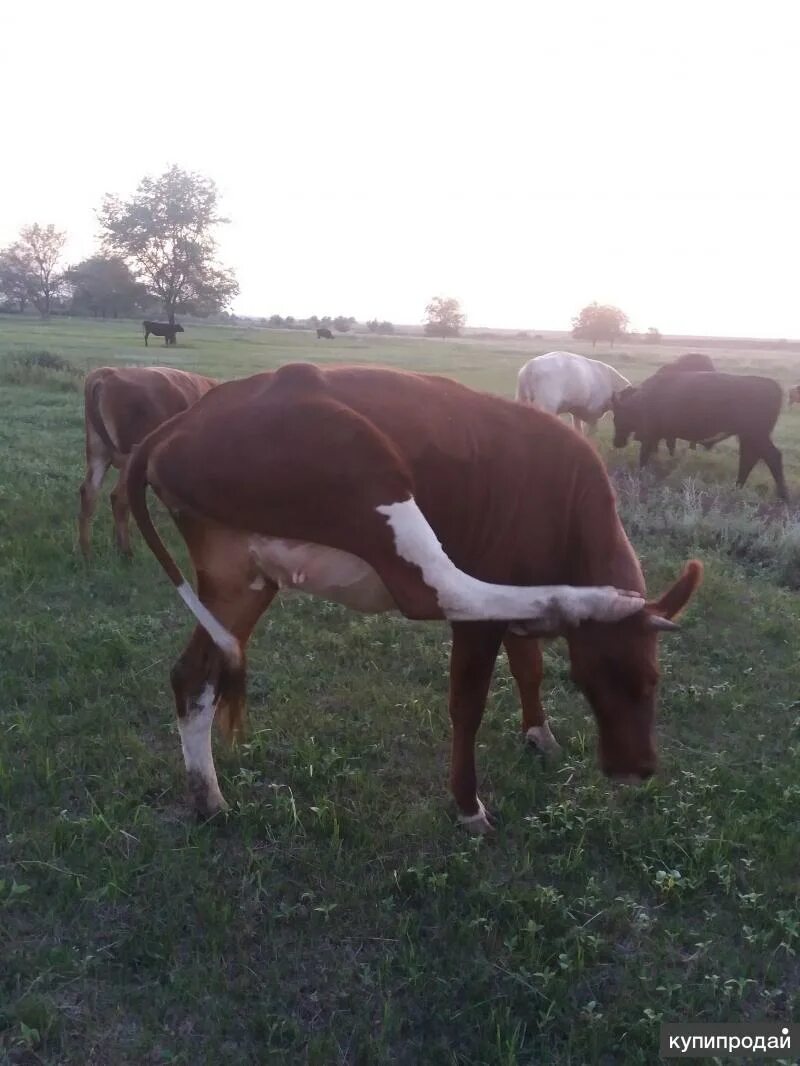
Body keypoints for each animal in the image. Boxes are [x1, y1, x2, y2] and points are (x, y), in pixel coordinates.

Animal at [78, 366, 217, 558]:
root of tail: (108, 373)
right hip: (132, 455)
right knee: (119, 499)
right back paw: (126, 552)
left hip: (97, 452)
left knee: (89, 492)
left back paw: (86, 553)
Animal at [126, 364, 699, 831]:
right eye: (588, 680)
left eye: (651, 680)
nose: (636, 768)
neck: (569, 504)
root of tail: (189, 415)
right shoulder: (483, 618)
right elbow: (468, 703)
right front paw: (467, 805)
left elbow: (529, 666)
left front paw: (539, 732)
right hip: (366, 473)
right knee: (440, 589)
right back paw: (597, 600)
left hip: (239, 576)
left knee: (193, 674)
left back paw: (208, 798)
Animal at [614, 370, 789, 498]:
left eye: (617, 416)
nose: (617, 442)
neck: (641, 398)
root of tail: (771, 385)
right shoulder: (661, 435)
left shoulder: (650, 434)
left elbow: (644, 455)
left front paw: (640, 475)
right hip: (748, 437)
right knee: (750, 458)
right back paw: (737, 487)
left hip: (756, 436)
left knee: (771, 456)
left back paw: (782, 496)